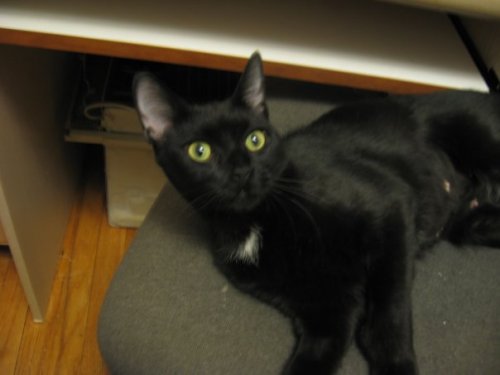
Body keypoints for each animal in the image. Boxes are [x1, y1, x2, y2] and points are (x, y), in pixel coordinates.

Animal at [132, 53, 500, 375]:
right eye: (200, 151)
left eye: (255, 140)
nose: (242, 172)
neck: (256, 222)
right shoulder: (327, 310)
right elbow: (316, 356)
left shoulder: (390, 209)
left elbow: (389, 315)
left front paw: (396, 366)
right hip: (472, 223)